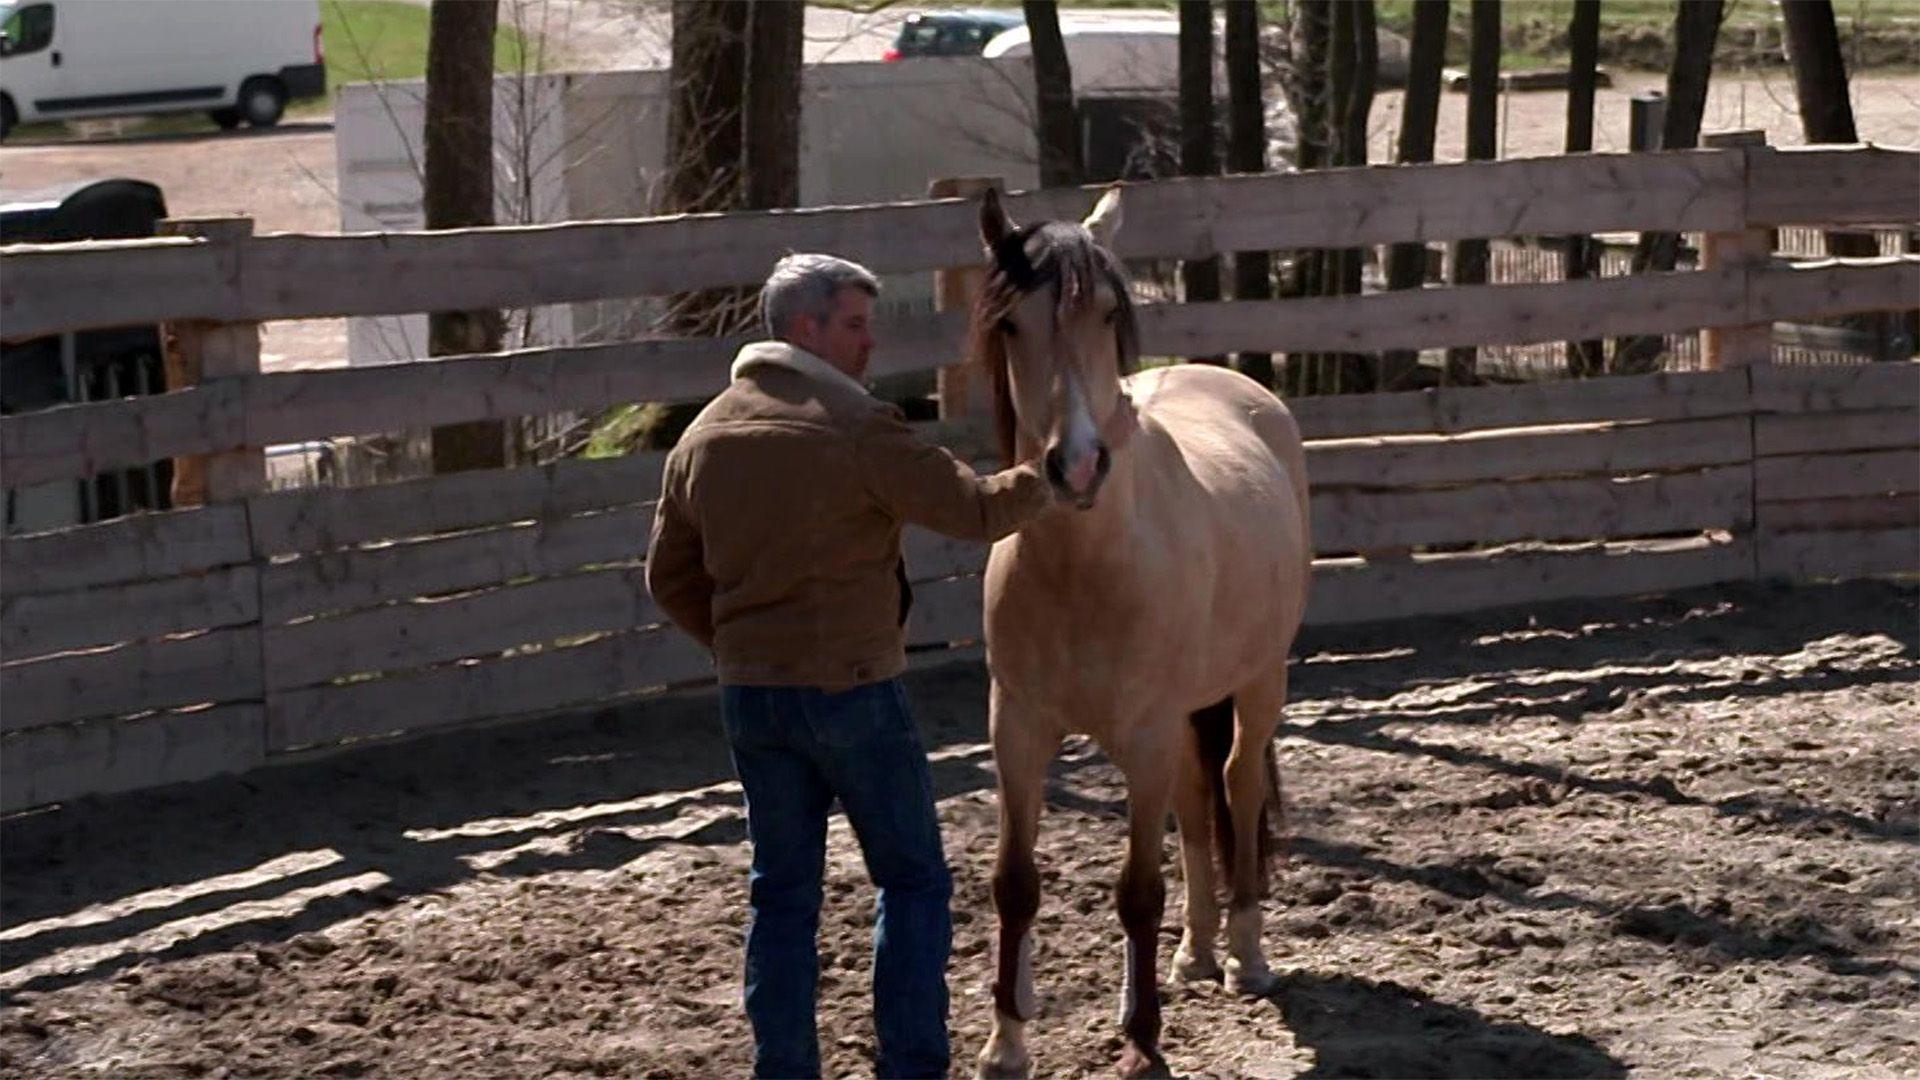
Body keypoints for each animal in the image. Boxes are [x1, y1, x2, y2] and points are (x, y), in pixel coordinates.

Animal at [970, 185, 1313, 1078]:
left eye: (1106, 312)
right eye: (1012, 323)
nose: (1077, 465)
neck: (1084, 570)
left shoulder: (1147, 735)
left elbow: (1137, 892)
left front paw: (1143, 1046)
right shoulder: (1017, 730)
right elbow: (1014, 883)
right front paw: (1004, 1044)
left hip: (1259, 681)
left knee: (1235, 784)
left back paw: (1245, 956)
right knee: (1197, 802)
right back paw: (1195, 952)